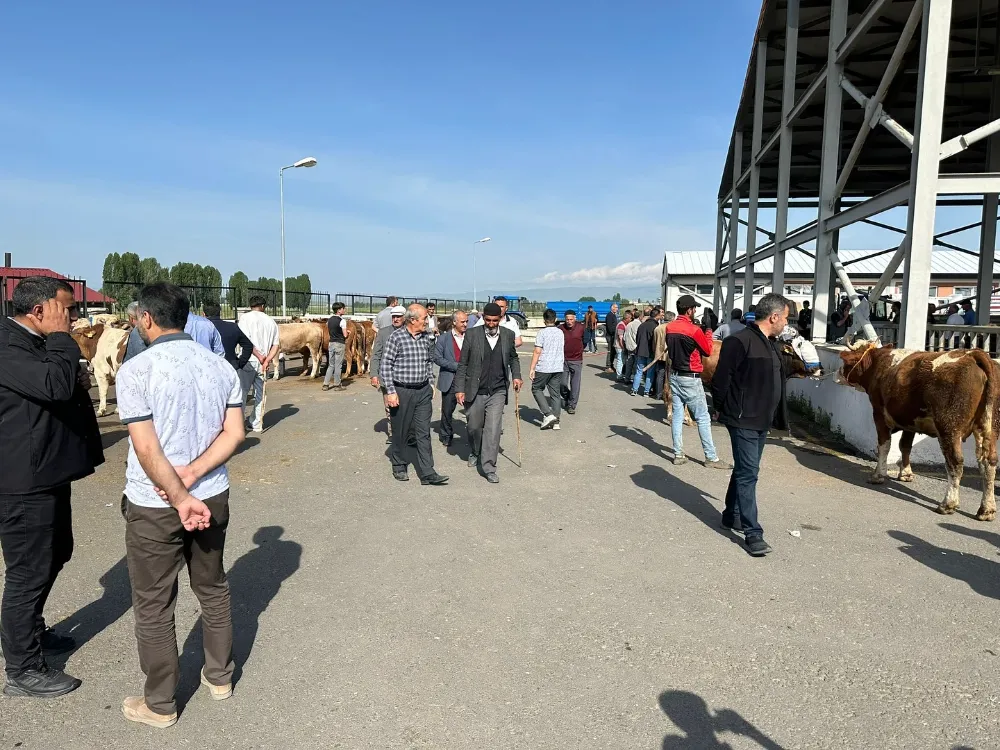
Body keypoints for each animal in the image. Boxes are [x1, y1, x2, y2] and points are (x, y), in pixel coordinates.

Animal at [836, 344, 1000, 520]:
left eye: (846, 363)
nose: (836, 374)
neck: (879, 364)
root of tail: (973, 354)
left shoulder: (879, 415)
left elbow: (884, 446)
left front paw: (878, 475)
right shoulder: (910, 421)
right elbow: (905, 446)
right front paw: (906, 473)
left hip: (949, 428)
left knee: (955, 462)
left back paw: (948, 504)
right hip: (989, 428)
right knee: (988, 462)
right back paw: (986, 509)